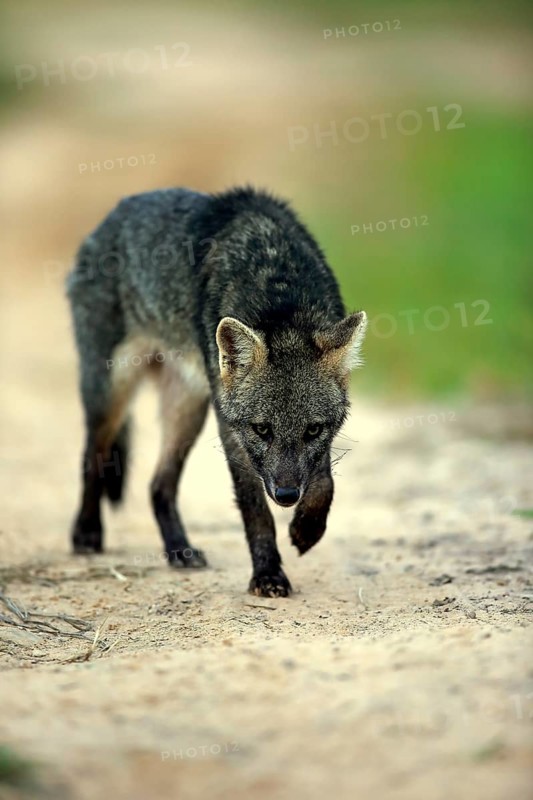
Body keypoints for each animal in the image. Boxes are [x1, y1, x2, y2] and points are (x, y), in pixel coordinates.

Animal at [66, 186, 367, 597]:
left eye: (313, 430)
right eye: (262, 429)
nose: (287, 496)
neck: (276, 283)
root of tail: (107, 219)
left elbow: (323, 482)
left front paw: (307, 530)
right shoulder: (233, 433)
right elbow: (255, 509)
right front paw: (267, 575)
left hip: (187, 410)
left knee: (158, 486)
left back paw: (179, 550)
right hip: (111, 396)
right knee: (91, 459)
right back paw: (86, 534)